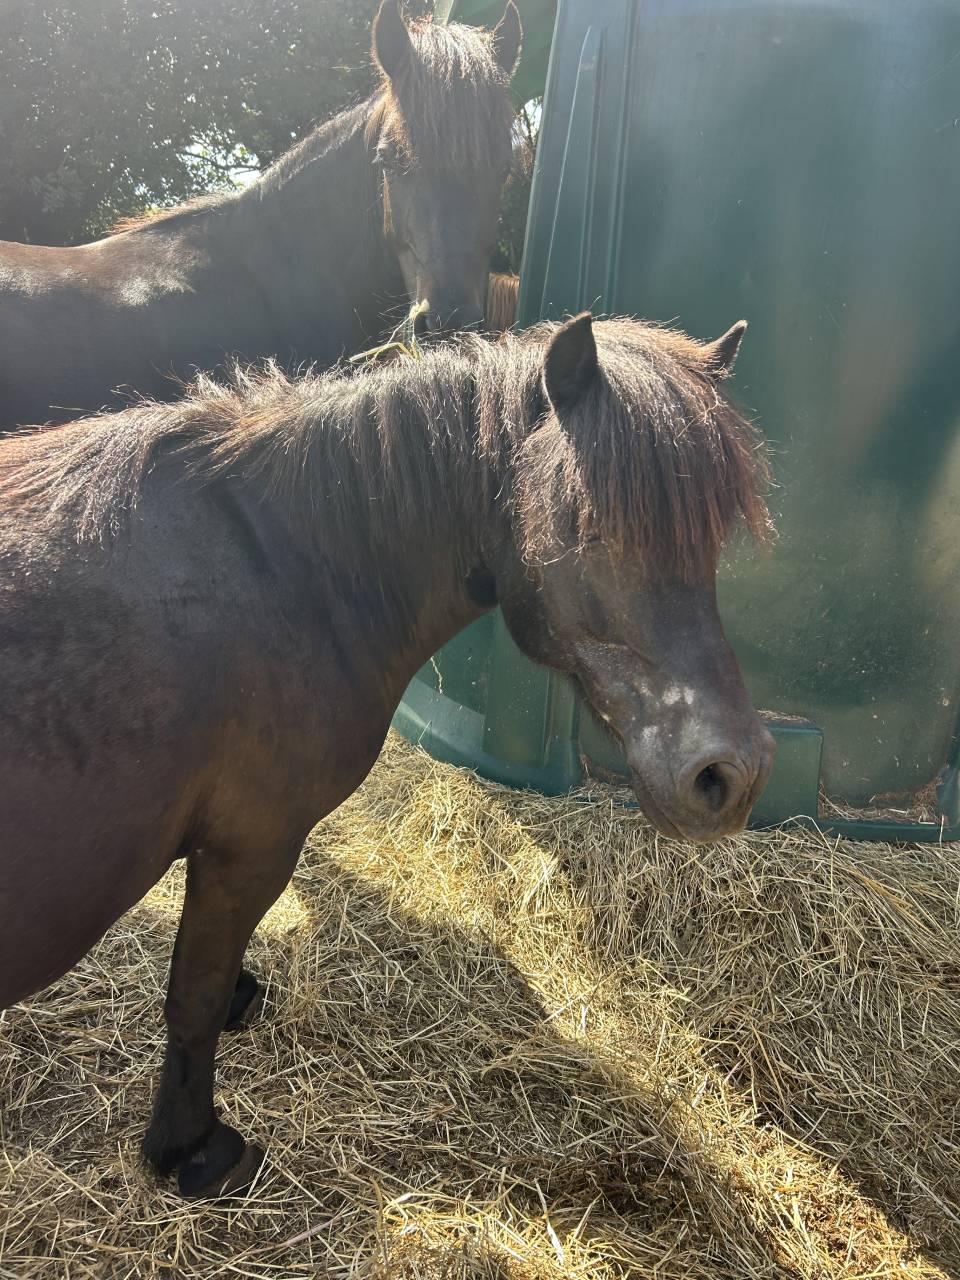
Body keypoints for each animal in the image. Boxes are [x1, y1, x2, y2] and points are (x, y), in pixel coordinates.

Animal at [0, 312, 775, 1197]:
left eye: (712, 536)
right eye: (588, 525)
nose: (732, 774)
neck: (282, 569)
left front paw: (239, 999)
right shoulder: (251, 844)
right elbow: (191, 996)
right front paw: (192, 1146)